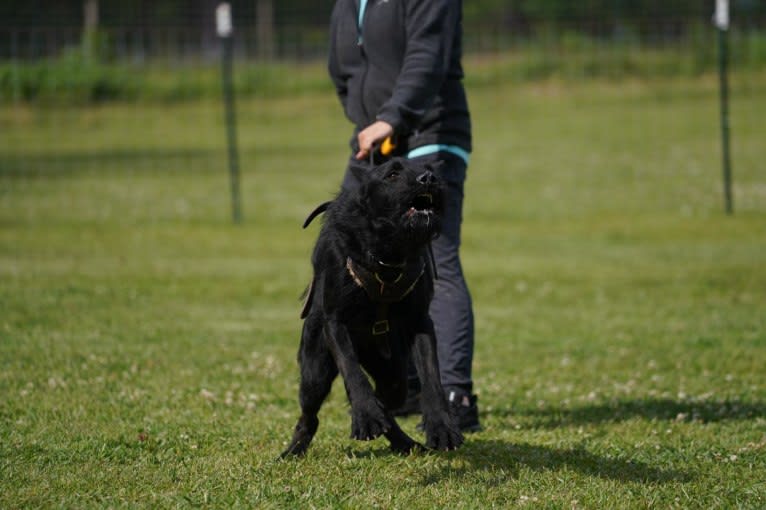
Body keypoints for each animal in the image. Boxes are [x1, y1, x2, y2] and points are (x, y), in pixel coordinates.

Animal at [280, 157, 464, 456]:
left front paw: (441, 427)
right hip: (315, 369)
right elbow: (351, 369)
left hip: (392, 369)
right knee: (309, 413)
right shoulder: (336, 322)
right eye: (393, 174)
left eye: (429, 170)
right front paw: (365, 414)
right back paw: (294, 450)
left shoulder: (420, 321)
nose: (428, 179)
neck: (388, 251)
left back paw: (402, 441)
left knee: (390, 400)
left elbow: (431, 376)